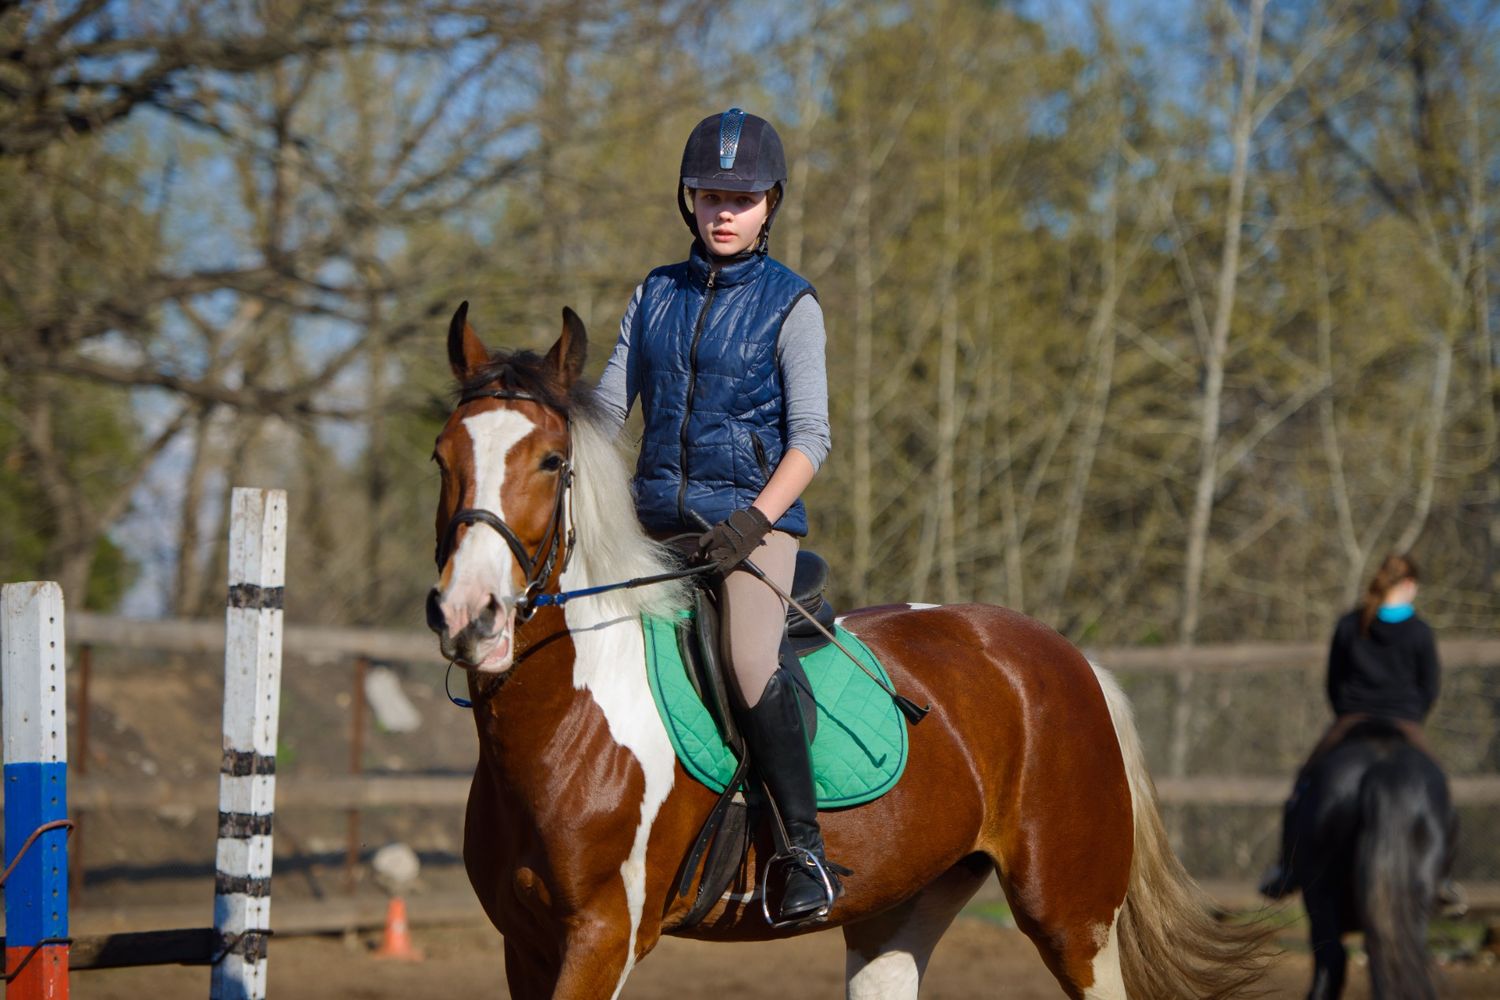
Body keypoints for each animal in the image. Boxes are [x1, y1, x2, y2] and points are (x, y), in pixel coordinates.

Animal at [425, 303, 1272, 999]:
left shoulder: (603, 937)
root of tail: (1065, 658)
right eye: (442, 456)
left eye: (550, 461)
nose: (472, 617)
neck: (568, 715)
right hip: (898, 912)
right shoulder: (527, 945)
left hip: (1073, 917)